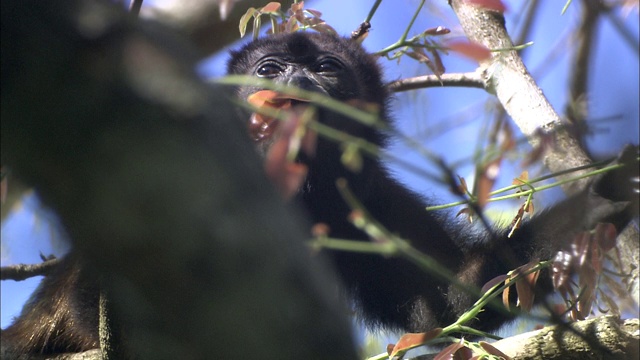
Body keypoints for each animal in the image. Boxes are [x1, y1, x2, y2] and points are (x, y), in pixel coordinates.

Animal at [228, 32, 636, 334]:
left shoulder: (375, 198)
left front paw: (597, 202)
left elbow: (447, 300)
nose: (297, 80)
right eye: (267, 70)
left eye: (326, 68)